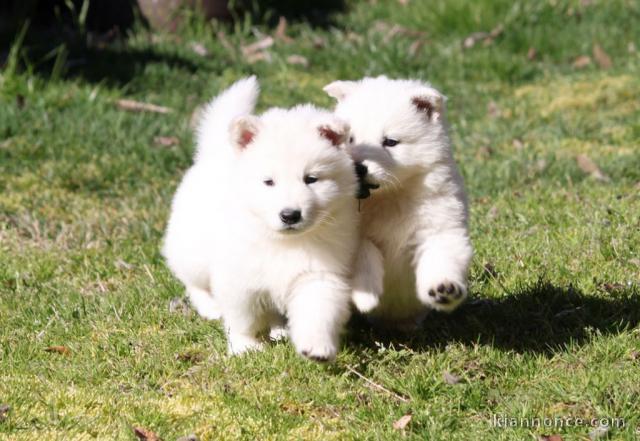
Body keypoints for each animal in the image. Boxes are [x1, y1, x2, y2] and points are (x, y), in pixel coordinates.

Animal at [162, 77, 358, 360]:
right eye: (269, 182)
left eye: (311, 179)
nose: (290, 215)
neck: (283, 242)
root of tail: (215, 152)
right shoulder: (239, 281)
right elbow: (243, 319)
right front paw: (245, 346)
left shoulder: (317, 273)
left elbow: (317, 310)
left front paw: (317, 346)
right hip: (192, 252)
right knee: (192, 281)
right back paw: (210, 307)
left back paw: (280, 329)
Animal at [324, 75, 470, 324]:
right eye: (351, 139)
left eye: (390, 142)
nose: (358, 168)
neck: (390, 196)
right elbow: (365, 248)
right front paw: (366, 296)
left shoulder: (440, 224)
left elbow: (441, 254)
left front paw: (443, 288)